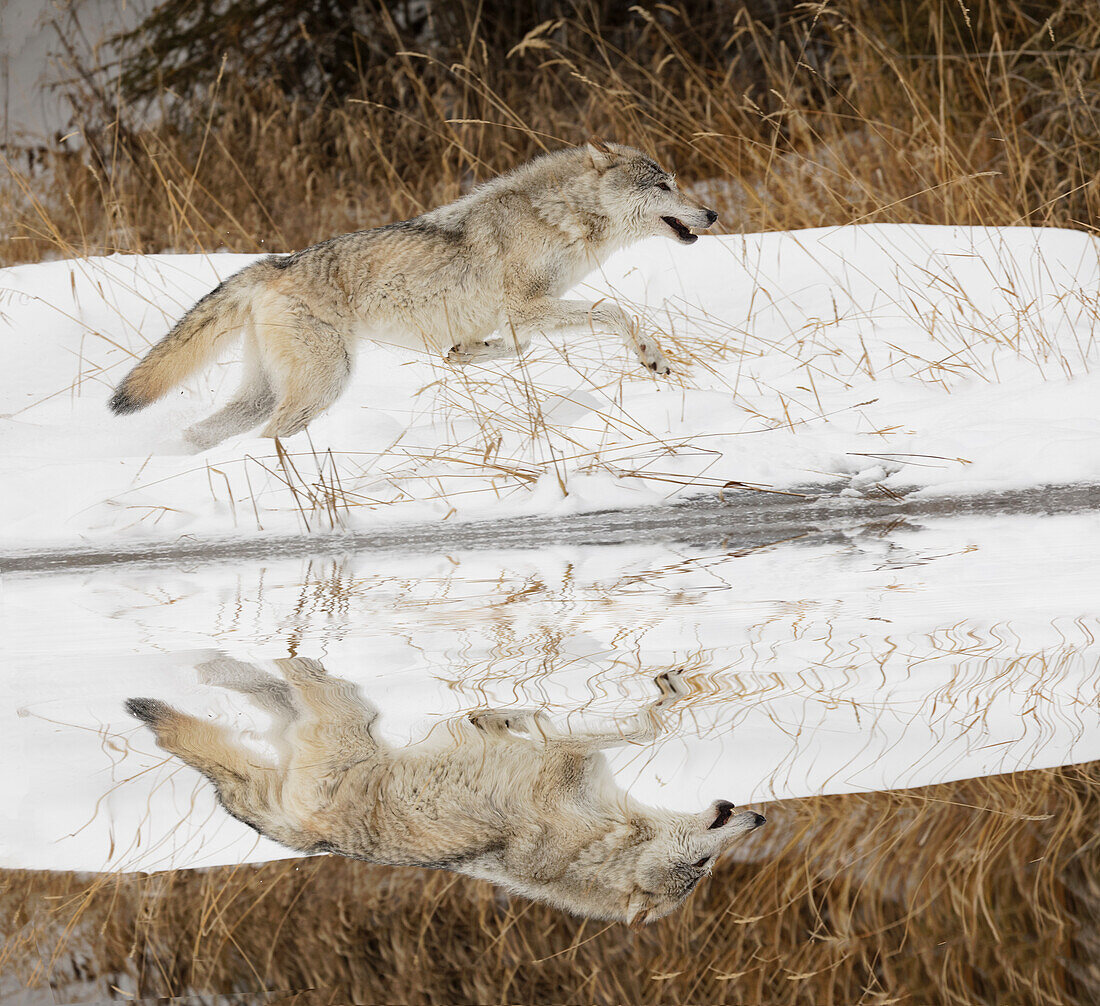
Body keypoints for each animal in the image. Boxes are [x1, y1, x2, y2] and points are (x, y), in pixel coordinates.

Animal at [107, 138, 717, 448]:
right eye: (665, 186)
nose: (712, 213)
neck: (563, 219)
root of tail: (275, 264)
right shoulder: (529, 306)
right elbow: (618, 312)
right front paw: (653, 358)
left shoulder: (522, 317)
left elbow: (512, 347)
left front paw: (466, 354)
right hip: (325, 383)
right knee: (266, 434)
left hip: (267, 391)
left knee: (201, 432)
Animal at [124, 659, 765, 927]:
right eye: (704, 867)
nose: (758, 819)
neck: (604, 837)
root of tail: (314, 841)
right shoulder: (567, 758)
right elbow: (637, 727)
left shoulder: (566, 761)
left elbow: (620, 729)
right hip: (345, 720)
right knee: (276, 680)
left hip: (333, 725)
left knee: (269, 690)